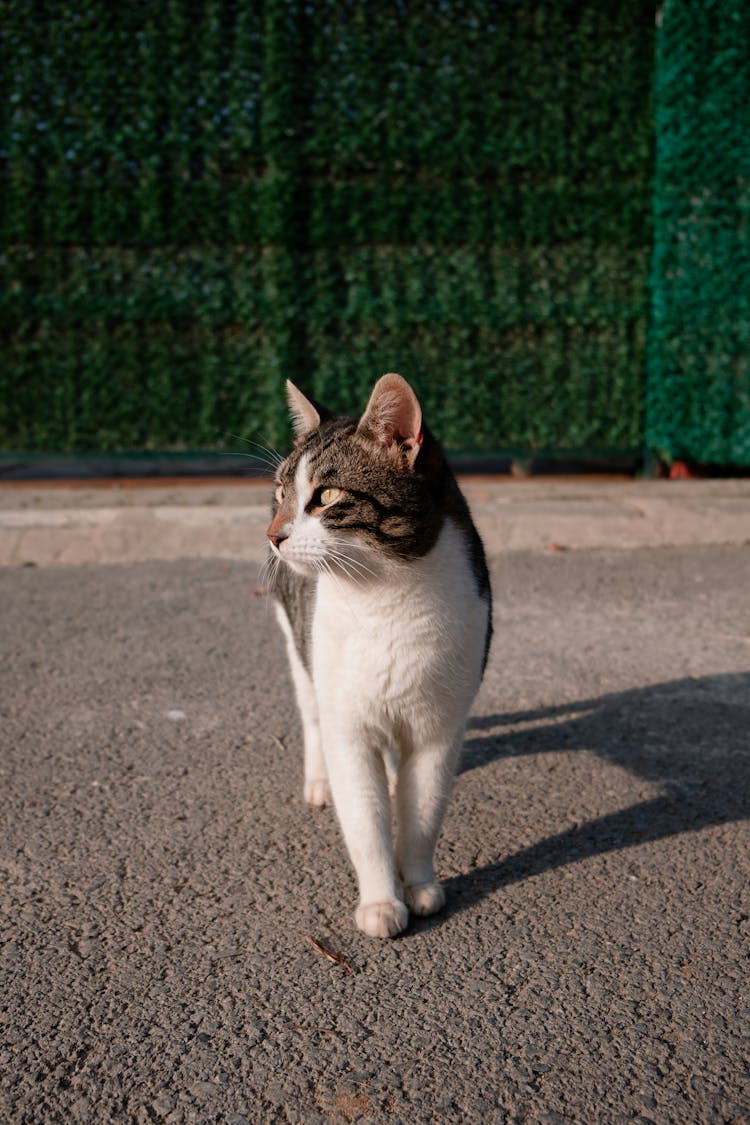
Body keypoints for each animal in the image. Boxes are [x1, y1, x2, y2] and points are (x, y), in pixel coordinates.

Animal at [265, 373, 492, 936]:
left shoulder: (438, 728)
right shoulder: (349, 727)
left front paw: (421, 886)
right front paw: (381, 901)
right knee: (312, 716)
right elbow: (365, 823)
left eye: (326, 496)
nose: (273, 535)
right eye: (281, 493)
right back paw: (319, 780)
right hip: (298, 648)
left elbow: (422, 815)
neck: (385, 599)